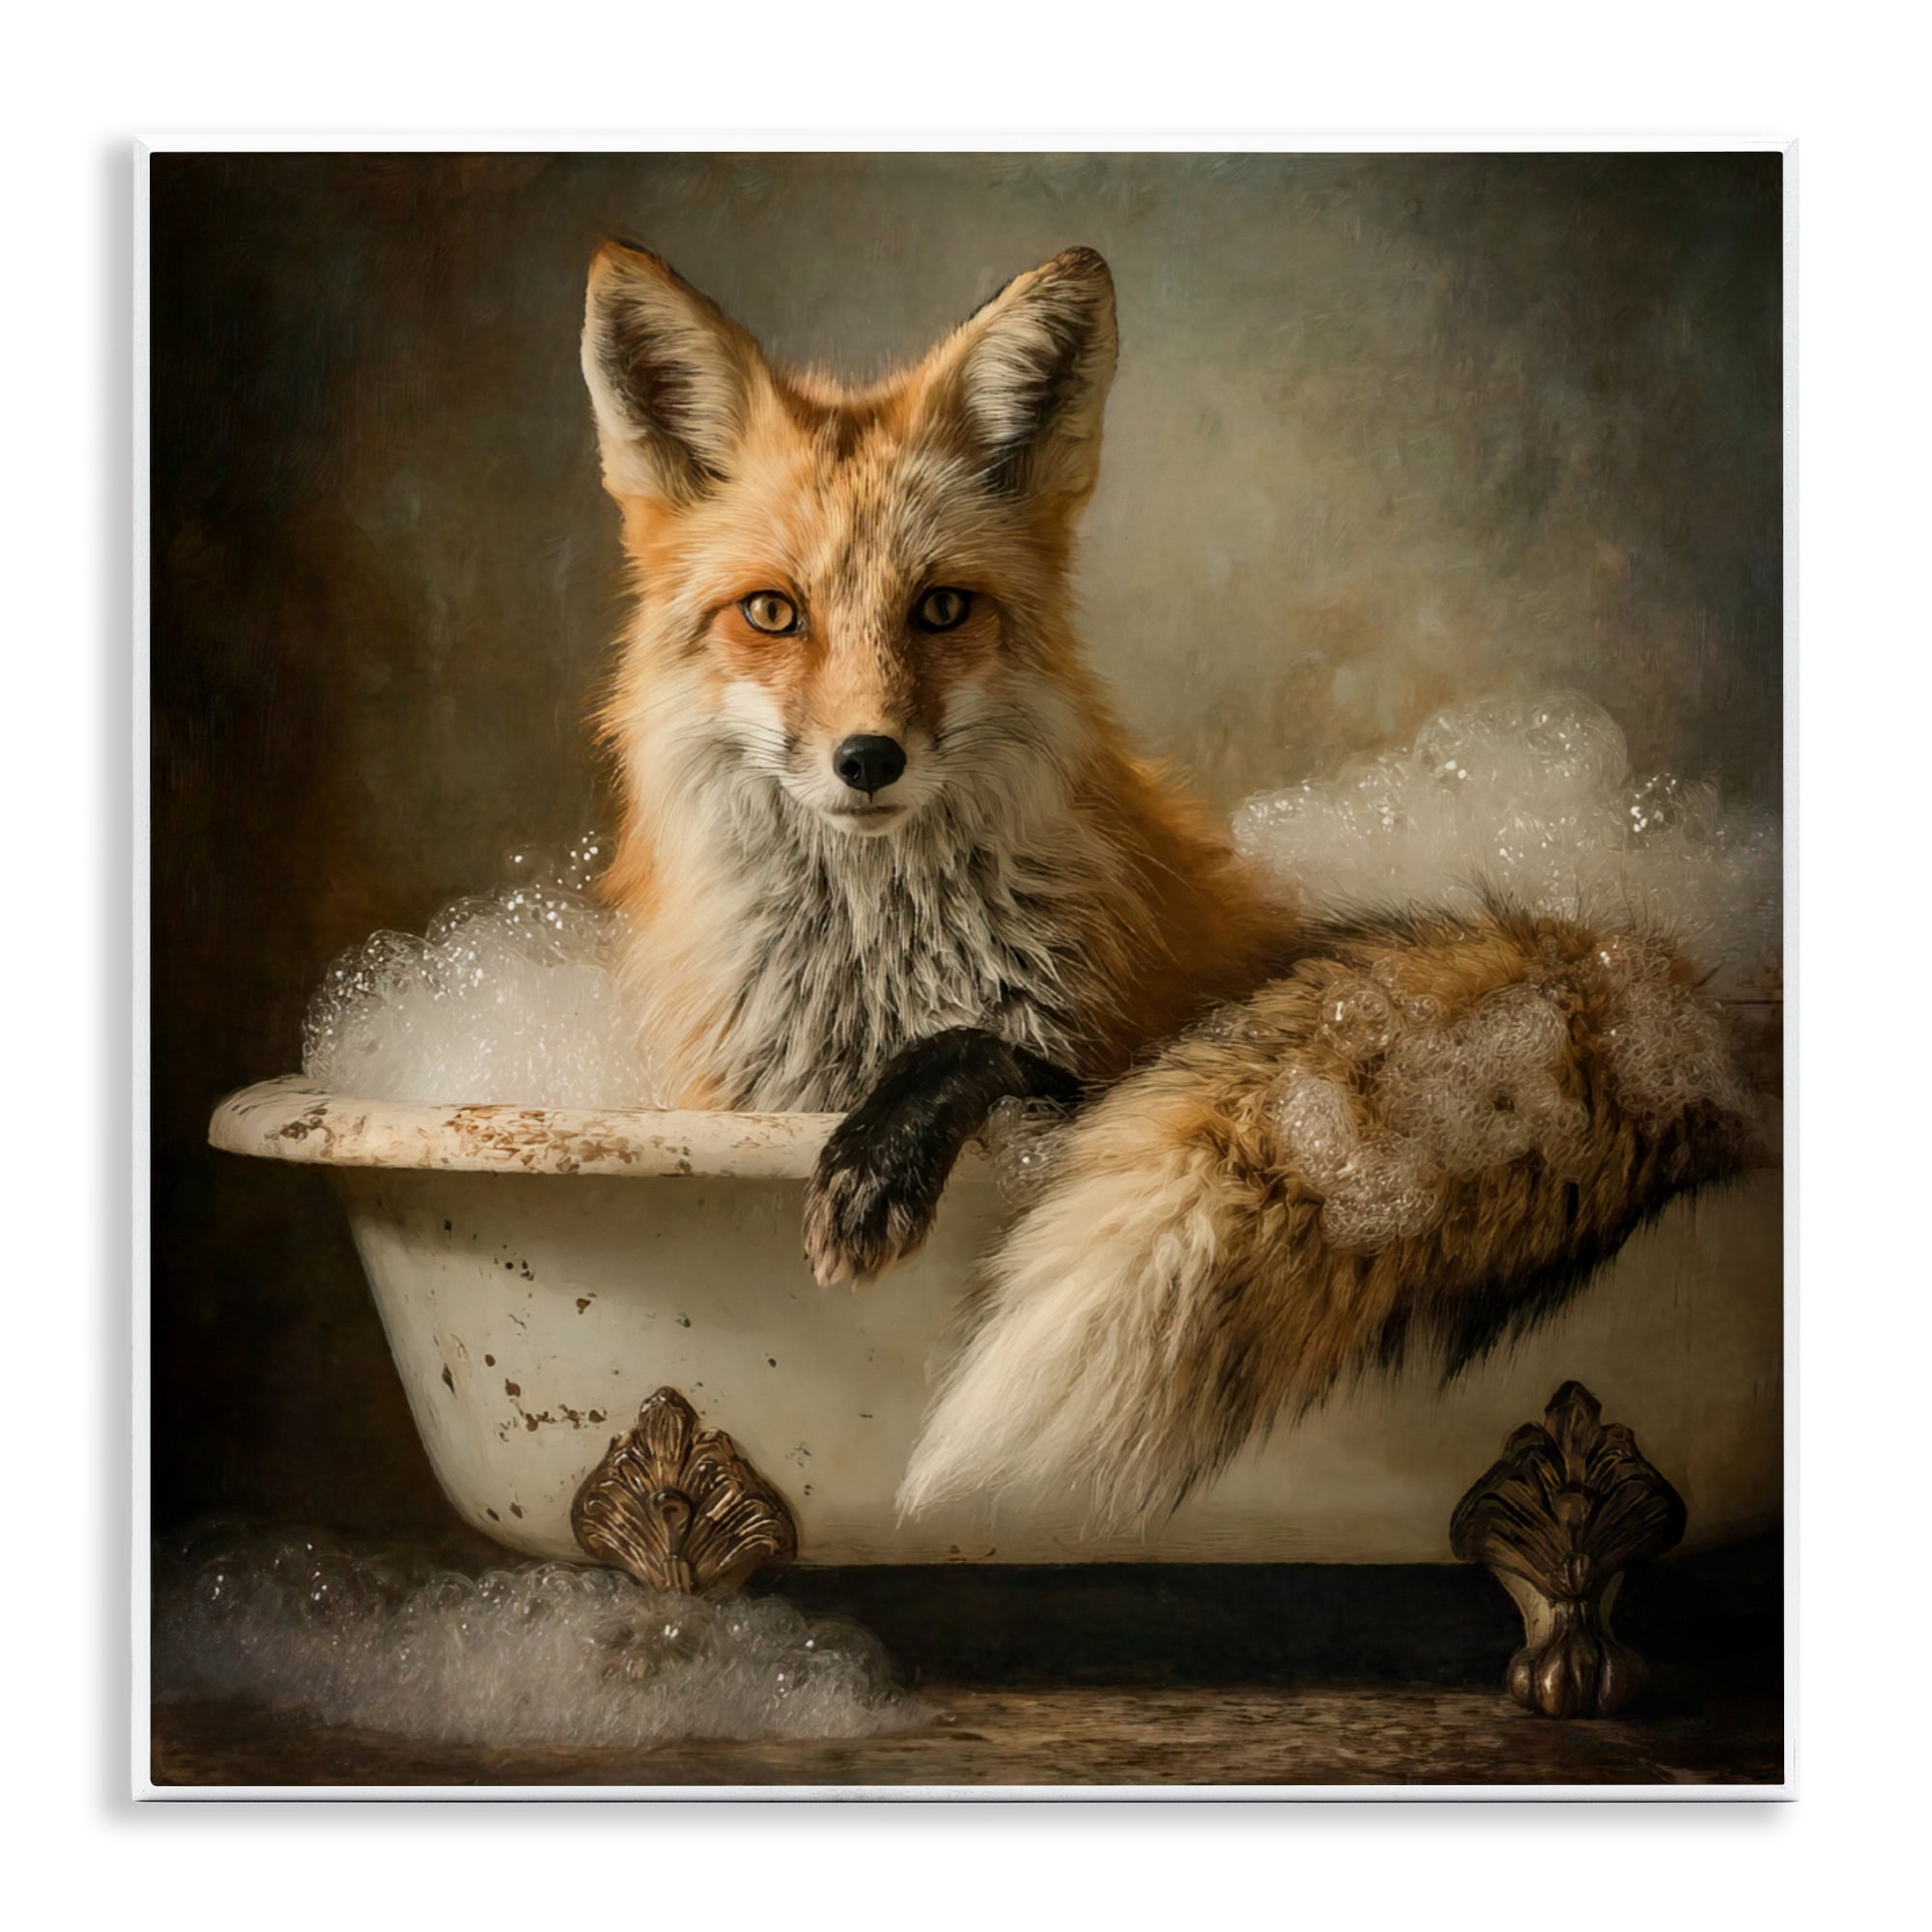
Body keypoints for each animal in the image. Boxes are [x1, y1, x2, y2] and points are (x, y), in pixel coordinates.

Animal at [580, 239, 1761, 1530]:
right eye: (771, 613)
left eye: (939, 608)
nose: (867, 758)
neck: (877, 972)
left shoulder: (1098, 1050)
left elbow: (975, 1043)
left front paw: (878, 1158)